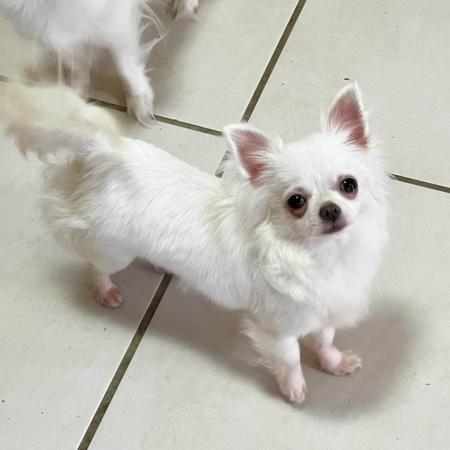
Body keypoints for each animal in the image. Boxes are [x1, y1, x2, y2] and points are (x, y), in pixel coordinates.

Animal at [0, 0, 199, 124]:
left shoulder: (115, 21)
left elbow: (125, 67)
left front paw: (139, 99)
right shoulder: (48, 27)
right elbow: (76, 63)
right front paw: (76, 95)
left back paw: (186, 5)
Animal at [1, 82, 388, 404]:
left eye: (349, 185)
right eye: (296, 202)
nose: (330, 209)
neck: (323, 256)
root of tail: (103, 152)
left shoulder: (325, 309)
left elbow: (325, 340)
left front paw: (334, 363)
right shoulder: (276, 327)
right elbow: (290, 358)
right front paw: (294, 389)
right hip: (114, 250)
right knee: (97, 266)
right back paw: (105, 290)